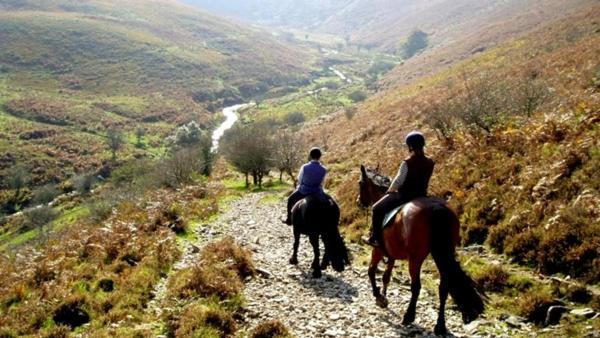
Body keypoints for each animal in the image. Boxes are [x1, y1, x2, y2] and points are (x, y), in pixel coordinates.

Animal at [356, 165, 482, 334]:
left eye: (360, 183)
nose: (358, 201)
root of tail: (436, 208)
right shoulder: (392, 254)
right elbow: (386, 276)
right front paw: (383, 296)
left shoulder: (378, 250)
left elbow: (371, 271)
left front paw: (379, 297)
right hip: (441, 254)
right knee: (444, 287)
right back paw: (440, 326)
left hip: (416, 258)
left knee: (416, 286)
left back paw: (408, 316)